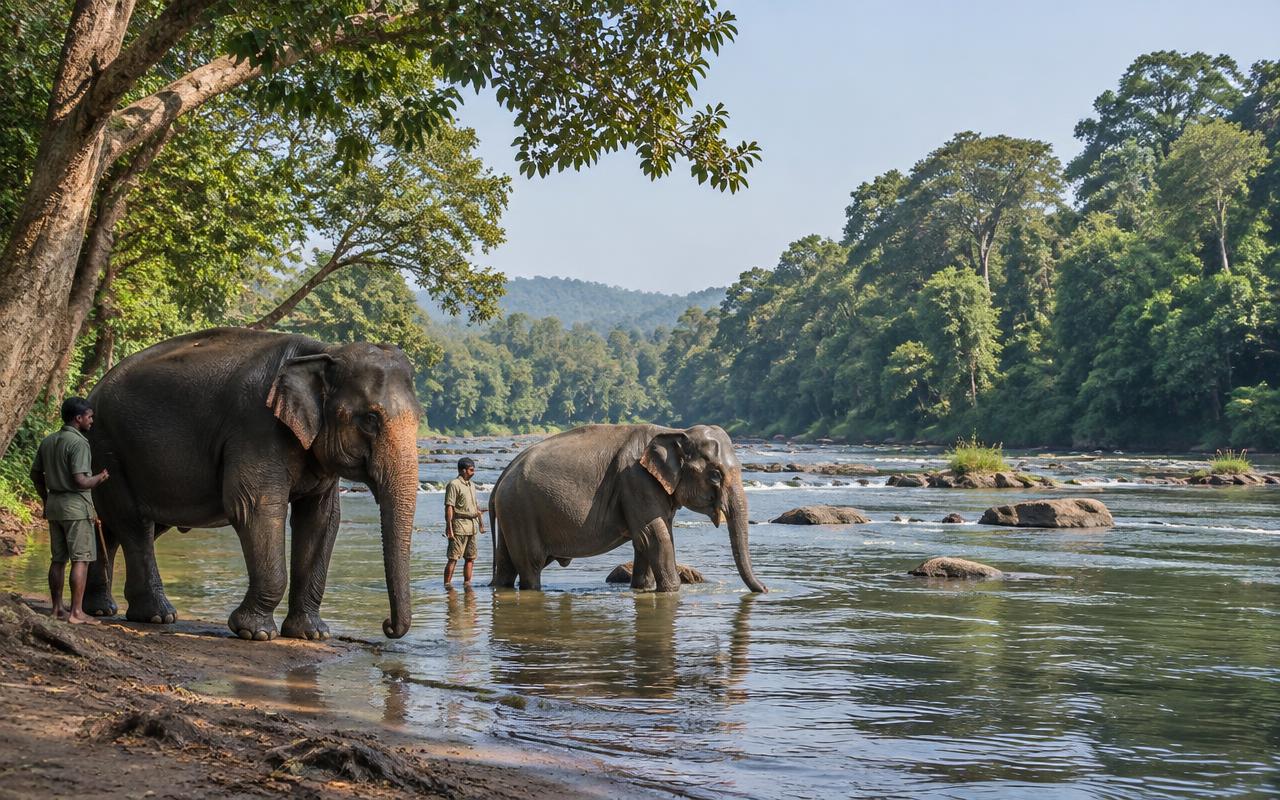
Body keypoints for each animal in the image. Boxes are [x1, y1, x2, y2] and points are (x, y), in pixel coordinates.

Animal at [83, 327, 421, 640]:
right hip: (106, 447)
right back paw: (156, 616)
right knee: (134, 524)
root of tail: (93, 392)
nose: (388, 626)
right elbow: (255, 507)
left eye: (419, 419)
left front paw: (311, 634)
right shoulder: (256, 427)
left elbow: (321, 519)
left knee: (123, 527)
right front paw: (254, 632)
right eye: (370, 419)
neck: (322, 351)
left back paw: (102, 609)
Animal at [488, 423, 766, 593]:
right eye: (716, 475)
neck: (673, 432)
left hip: (511, 513)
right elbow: (654, 535)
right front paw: (672, 589)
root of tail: (504, 474)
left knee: (506, 563)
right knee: (531, 563)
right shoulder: (635, 480)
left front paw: (642, 588)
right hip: (520, 510)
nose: (764, 589)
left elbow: (648, 538)